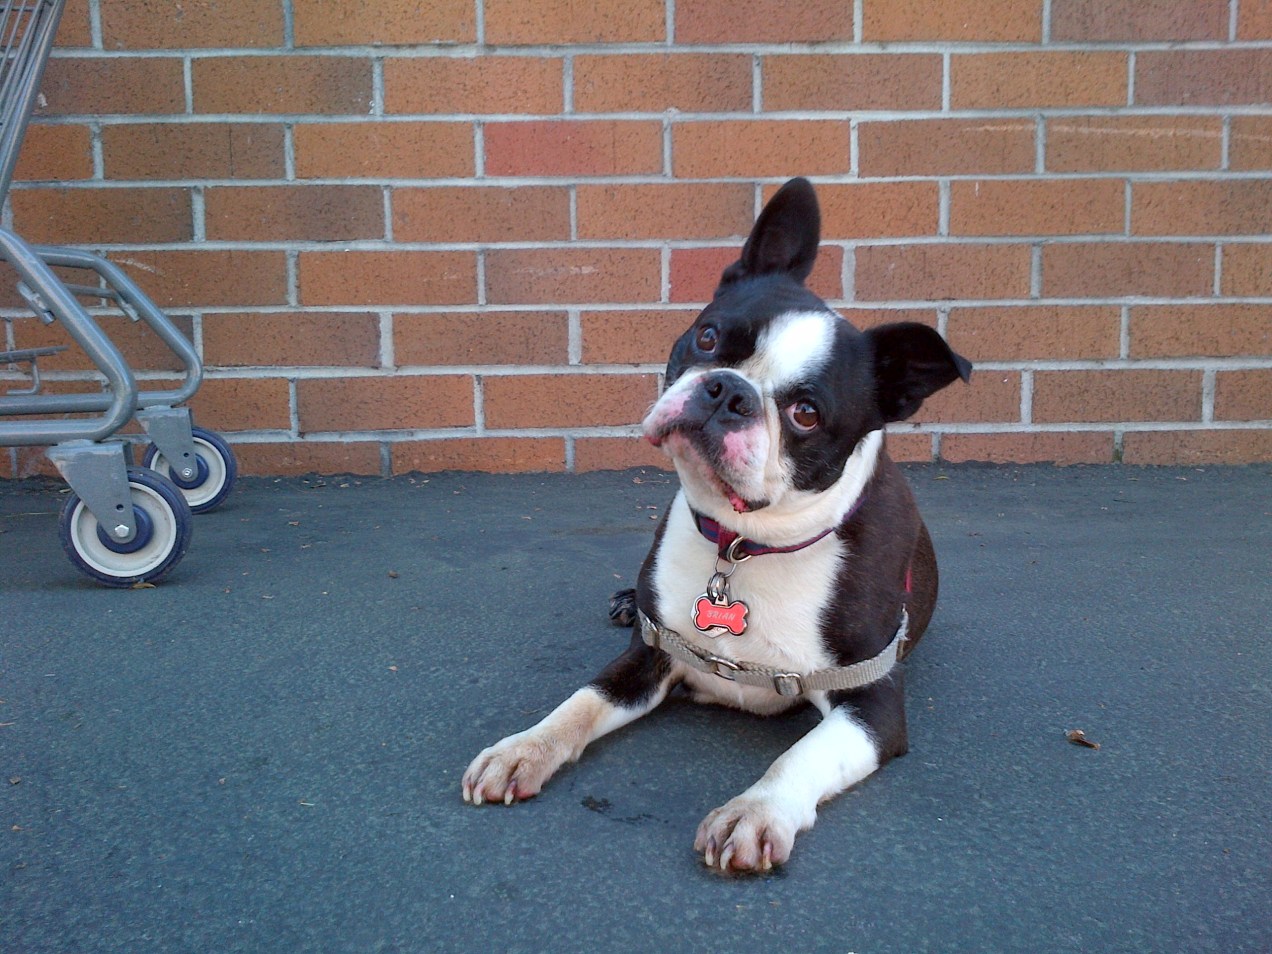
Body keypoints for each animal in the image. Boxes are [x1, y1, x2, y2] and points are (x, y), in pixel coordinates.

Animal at [462, 177, 971, 874]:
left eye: (807, 413)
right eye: (707, 338)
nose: (728, 391)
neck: (744, 547)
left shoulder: (872, 706)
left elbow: (799, 756)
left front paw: (755, 812)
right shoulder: (649, 656)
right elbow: (580, 703)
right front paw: (524, 748)